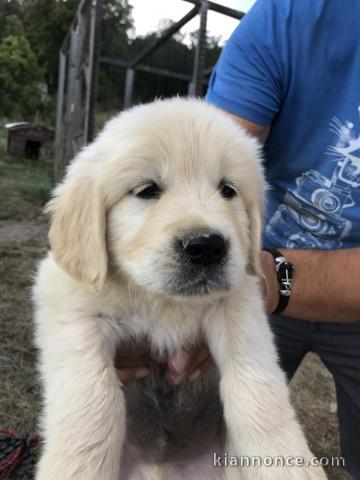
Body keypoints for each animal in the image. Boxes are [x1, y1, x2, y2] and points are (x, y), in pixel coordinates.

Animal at [33, 98, 326, 480]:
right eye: (147, 190)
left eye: (227, 190)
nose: (207, 247)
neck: (163, 300)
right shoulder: (71, 305)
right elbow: (94, 400)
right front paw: (74, 469)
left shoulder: (238, 304)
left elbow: (256, 385)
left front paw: (287, 462)